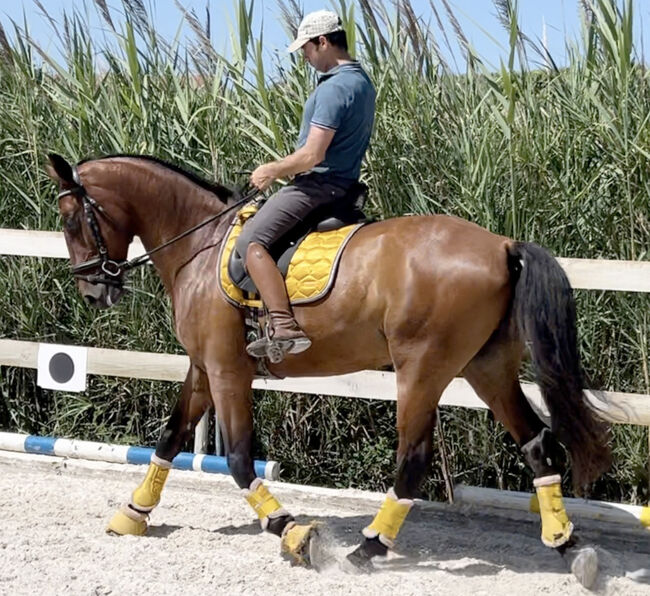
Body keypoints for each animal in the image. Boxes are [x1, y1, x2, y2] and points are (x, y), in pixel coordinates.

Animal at [46, 152, 608, 588]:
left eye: (72, 221)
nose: (93, 291)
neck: (199, 249)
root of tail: (502, 245)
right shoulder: (203, 369)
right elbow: (169, 438)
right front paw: (133, 514)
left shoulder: (228, 372)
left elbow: (240, 461)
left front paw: (296, 534)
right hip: (485, 367)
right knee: (536, 442)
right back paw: (567, 545)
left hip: (421, 369)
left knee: (413, 461)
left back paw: (367, 549)